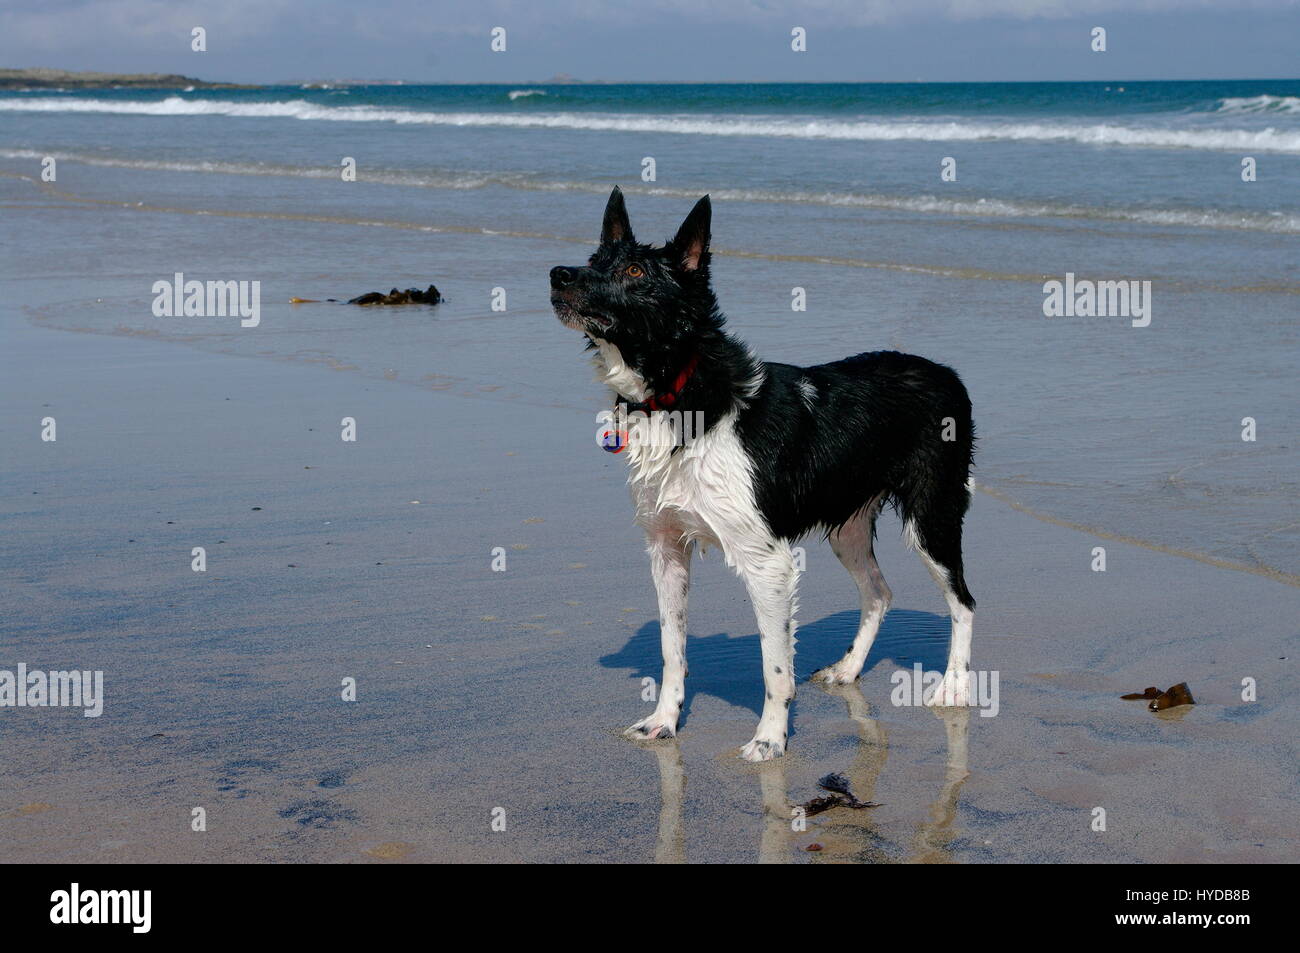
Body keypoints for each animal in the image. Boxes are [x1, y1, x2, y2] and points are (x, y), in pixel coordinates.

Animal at [548, 189, 977, 764]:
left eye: (635, 271)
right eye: (595, 260)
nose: (558, 274)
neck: (682, 393)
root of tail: (945, 373)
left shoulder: (768, 563)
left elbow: (775, 668)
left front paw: (770, 739)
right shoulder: (667, 548)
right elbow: (671, 648)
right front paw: (664, 722)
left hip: (932, 515)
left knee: (962, 601)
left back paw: (954, 686)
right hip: (847, 525)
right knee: (879, 592)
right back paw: (849, 668)